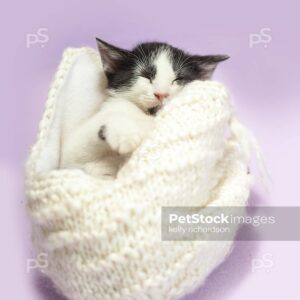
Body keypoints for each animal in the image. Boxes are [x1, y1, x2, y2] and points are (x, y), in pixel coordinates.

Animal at [61, 38, 230, 177]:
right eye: (146, 75)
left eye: (178, 79)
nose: (161, 94)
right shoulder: (71, 158)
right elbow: (78, 147)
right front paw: (124, 133)